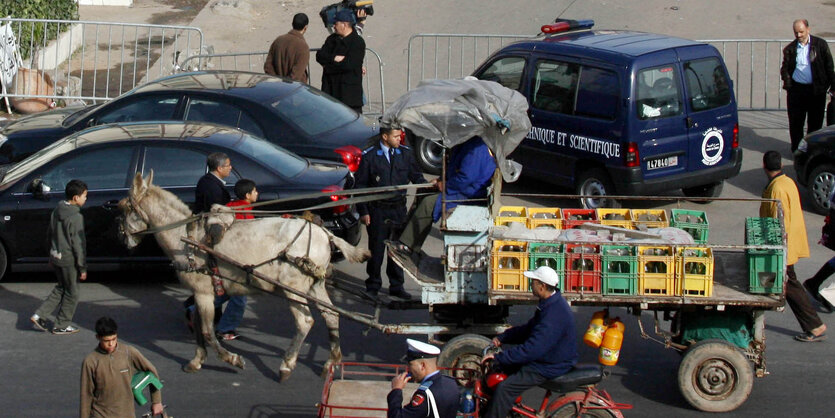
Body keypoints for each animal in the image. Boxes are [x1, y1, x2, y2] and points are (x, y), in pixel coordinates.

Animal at [118, 171, 370, 380]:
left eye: (126, 209)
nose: (124, 239)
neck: (186, 237)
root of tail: (324, 232)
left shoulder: (203, 292)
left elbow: (207, 331)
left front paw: (233, 359)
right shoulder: (202, 292)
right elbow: (200, 328)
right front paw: (196, 360)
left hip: (293, 288)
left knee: (305, 322)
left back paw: (287, 365)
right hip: (315, 284)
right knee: (331, 316)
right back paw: (331, 362)